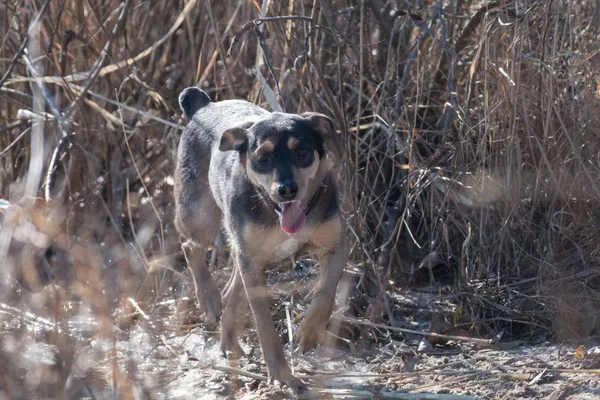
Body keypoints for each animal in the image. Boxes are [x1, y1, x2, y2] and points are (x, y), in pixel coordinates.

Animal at [173, 88, 346, 394]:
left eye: (302, 152)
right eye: (262, 157)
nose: (287, 189)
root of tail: (202, 105)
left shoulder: (334, 245)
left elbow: (327, 292)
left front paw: (309, 333)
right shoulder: (252, 264)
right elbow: (265, 328)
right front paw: (282, 376)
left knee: (232, 289)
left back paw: (229, 342)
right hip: (201, 215)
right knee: (190, 246)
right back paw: (208, 299)